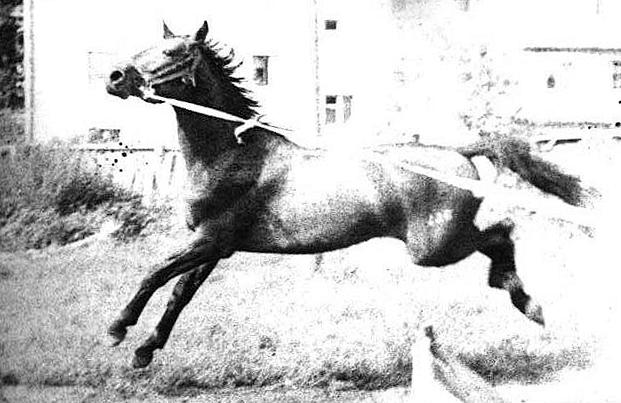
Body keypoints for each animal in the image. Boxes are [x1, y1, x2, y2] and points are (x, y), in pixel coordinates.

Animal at [105, 21, 588, 368]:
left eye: (174, 52)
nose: (114, 76)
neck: (231, 153)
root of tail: (459, 150)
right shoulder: (215, 246)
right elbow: (178, 292)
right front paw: (145, 350)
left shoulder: (211, 239)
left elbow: (154, 274)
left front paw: (117, 328)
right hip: (439, 244)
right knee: (500, 236)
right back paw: (524, 300)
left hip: (433, 247)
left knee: (503, 232)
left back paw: (528, 303)